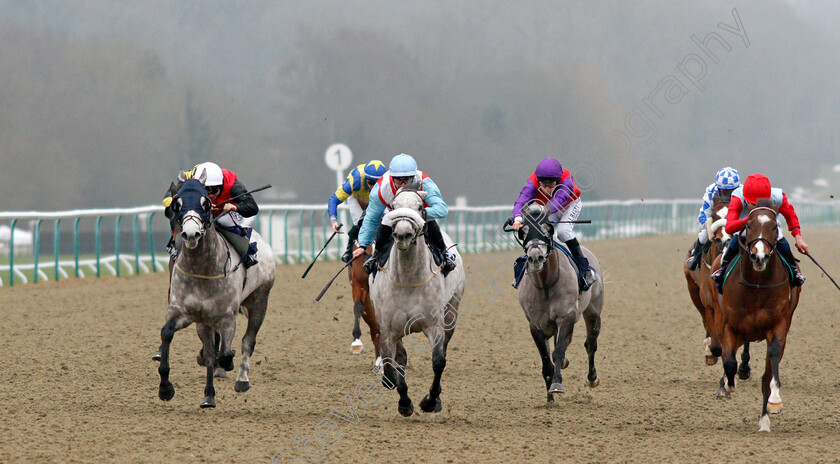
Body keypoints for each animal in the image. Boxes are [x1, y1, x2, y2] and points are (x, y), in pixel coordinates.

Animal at [157, 176, 276, 408]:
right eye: (176, 205)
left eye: (206, 203)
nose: (190, 234)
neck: (202, 270)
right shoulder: (184, 313)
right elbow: (168, 334)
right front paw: (166, 388)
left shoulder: (227, 317)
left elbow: (224, 354)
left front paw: (227, 364)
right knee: (213, 350)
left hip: (260, 300)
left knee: (248, 341)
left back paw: (242, 379)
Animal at [372, 188, 470, 416]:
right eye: (393, 206)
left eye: (419, 207)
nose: (403, 234)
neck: (408, 278)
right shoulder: (388, 329)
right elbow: (392, 364)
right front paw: (404, 402)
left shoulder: (434, 325)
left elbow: (439, 361)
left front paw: (431, 401)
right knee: (400, 358)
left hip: (452, 312)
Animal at [516, 204, 600, 402]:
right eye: (524, 231)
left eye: (547, 230)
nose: (535, 257)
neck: (546, 284)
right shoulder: (535, 325)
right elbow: (546, 359)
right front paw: (549, 397)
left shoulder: (566, 316)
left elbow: (558, 351)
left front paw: (556, 384)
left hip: (593, 311)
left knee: (591, 343)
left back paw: (592, 378)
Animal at [716, 204, 800, 432]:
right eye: (749, 225)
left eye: (774, 226)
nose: (759, 256)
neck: (757, 285)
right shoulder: (730, 326)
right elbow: (729, 362)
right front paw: (729, 384)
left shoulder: (778, 326)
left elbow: (771, 366)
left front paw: (774, 401)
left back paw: (765, 419)